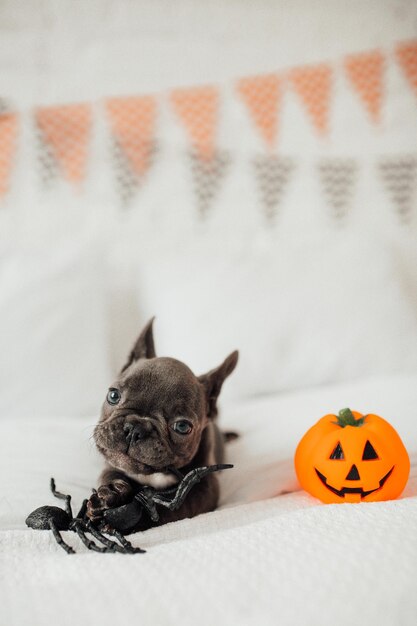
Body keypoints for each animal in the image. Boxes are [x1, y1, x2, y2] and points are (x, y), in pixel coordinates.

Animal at [88, 320, 237, 528]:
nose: (134, 429)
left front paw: (134, 519)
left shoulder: (204, 489)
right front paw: (109, 494)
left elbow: (170, 509)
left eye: (182, 427)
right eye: (113, 395)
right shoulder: (112, 465)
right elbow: (109, 476)